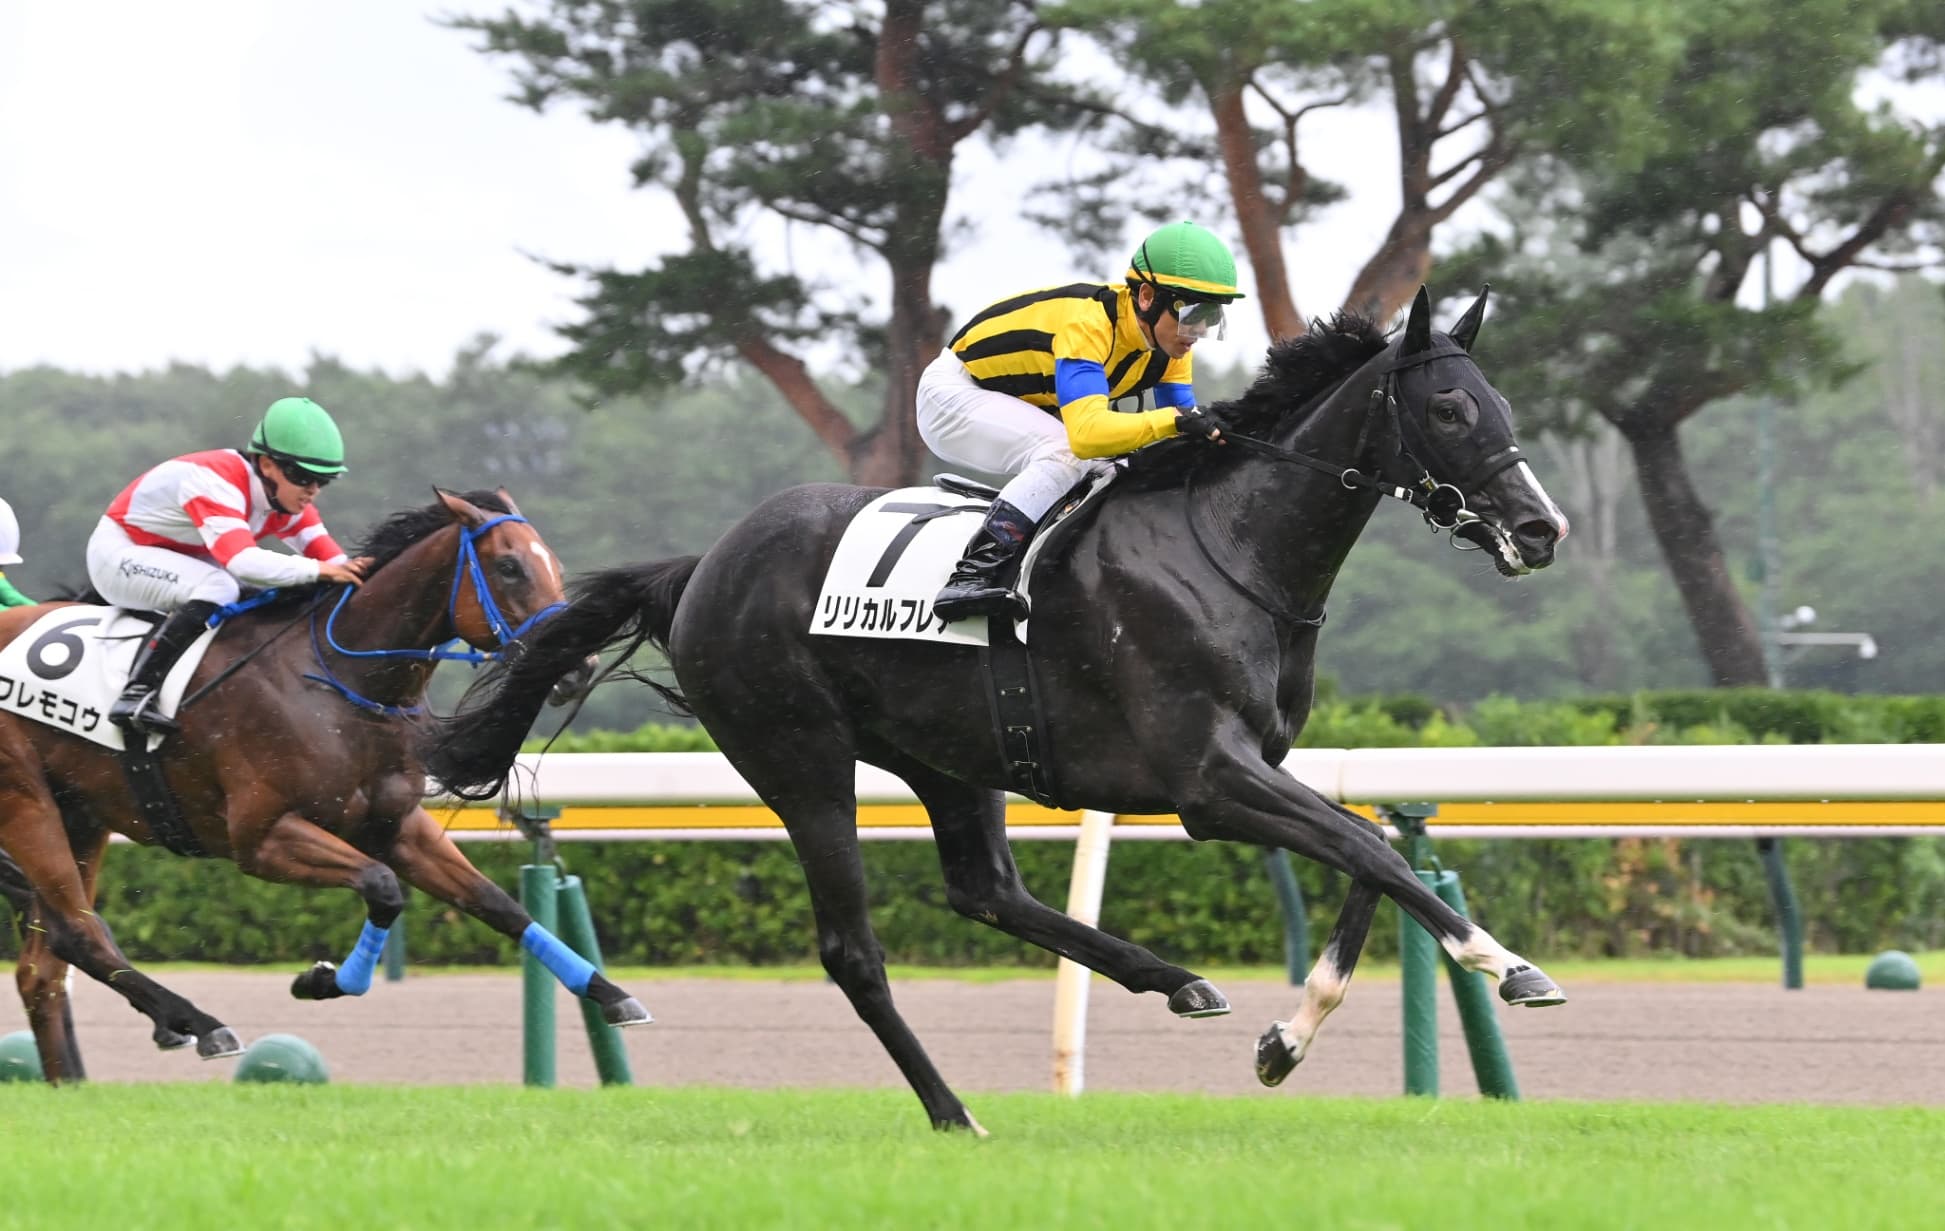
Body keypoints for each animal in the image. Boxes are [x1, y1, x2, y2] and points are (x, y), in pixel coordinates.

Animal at [0, 488, 650, 1082]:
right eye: (510, 566)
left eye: (554, 564)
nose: (578, 667)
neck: (341, 681)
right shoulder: (262, 839)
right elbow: (383, 888)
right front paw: (323, 979)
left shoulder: (398, 826)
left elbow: (497, 904)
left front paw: (611, 993)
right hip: (26, 803)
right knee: (80, 933)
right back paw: (200, 1025)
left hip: (83, 814)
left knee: (45, 962)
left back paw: (72, 1079)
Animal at [422, 288, 1569, 1131]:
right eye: (1451, 410)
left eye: (1501, 406)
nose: (1541, 528)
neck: (1229, 546)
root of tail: (701, 564)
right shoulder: (1208, 780)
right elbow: (1371, 852)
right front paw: (1507, 964)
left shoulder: (1258, 768)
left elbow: (1368, 848)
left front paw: (1286, 1039)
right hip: (799, 757)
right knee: (853, 949)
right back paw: (952, 1108)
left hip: (950, 755)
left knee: (986, 888)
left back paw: (1173, 979)